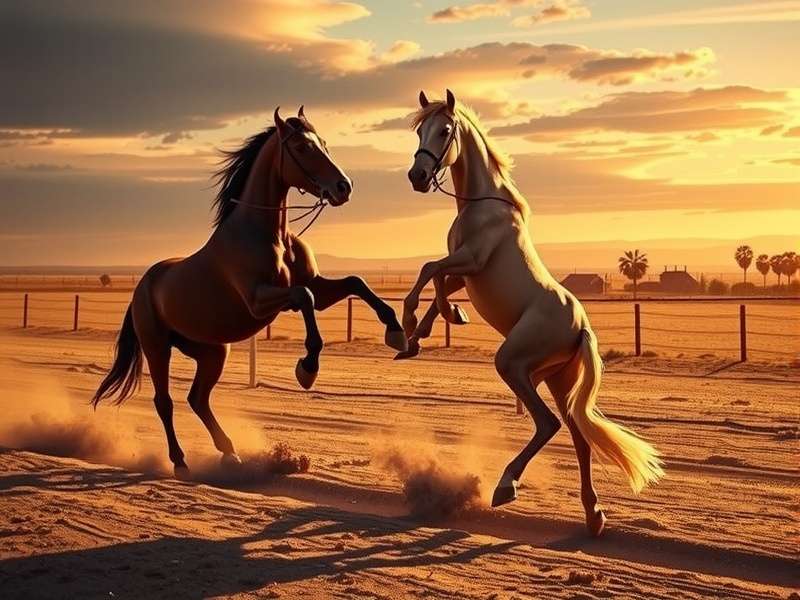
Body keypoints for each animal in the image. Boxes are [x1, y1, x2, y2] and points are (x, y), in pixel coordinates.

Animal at [92, 107, 407, 479]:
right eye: (301, 147)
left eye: (324, 143)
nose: (343, 187)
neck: (267, 235)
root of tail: (142, 287)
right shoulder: (260, 301)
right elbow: (303, 297)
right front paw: (307, 368)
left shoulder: (317, 287)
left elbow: (355, 282)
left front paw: (397, 333)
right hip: (157, 349)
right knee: (164, 401)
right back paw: (181, 462)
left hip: (213, 352)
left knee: (197, 399)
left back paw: (230, 453)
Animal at [401, 90, 663, 536]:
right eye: (420, 130)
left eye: (445, 130)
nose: (417, 176)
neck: (482, 208)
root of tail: (581, 328)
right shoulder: (465, 273)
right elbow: (436, 282)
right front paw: (426, 333)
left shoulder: (470, 261)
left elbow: (429, 271)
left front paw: (415, 325)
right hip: (558, 380)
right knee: (578, 436)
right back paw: (593, 515)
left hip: (513, 364)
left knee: (548, 424)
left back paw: (506, 486)